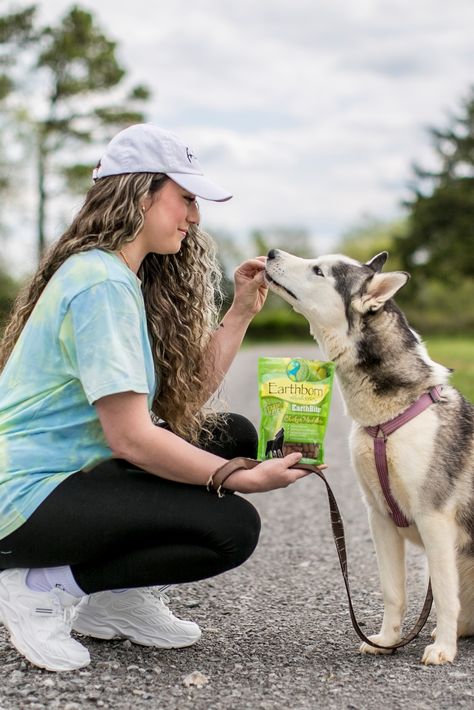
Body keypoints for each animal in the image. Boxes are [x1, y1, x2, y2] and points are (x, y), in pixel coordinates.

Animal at [264, 248, 474, 664]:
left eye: (318, 270)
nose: (271, 253)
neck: (384, 421)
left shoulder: (434, 519)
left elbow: (444, 594)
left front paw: (443, 649)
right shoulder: (379, 516)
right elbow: (394, 593)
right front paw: (387, 640)